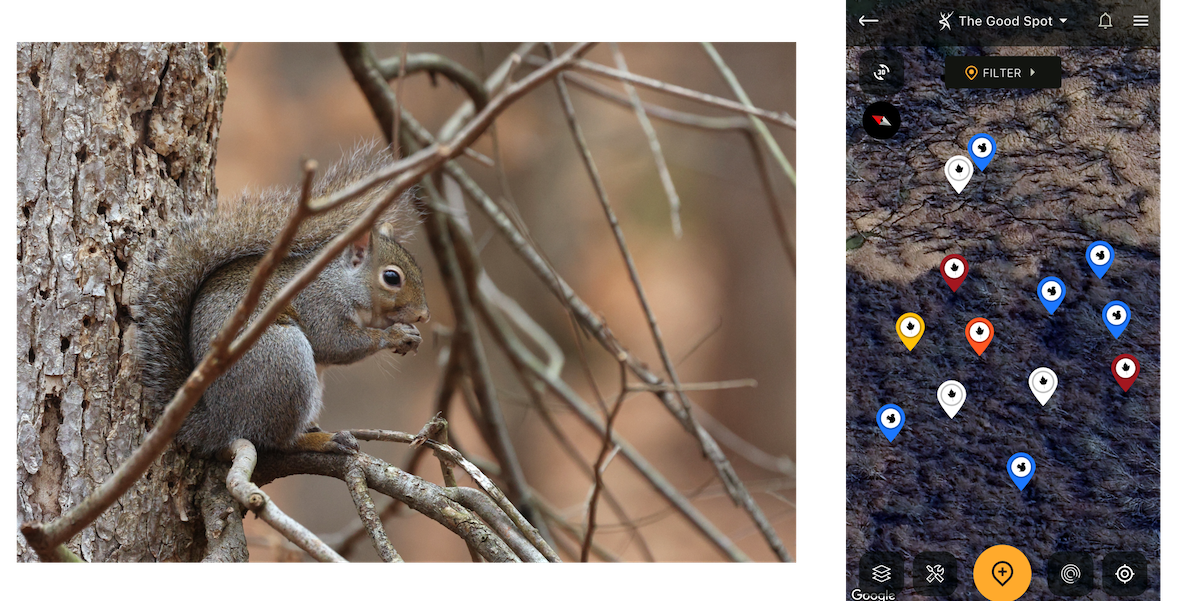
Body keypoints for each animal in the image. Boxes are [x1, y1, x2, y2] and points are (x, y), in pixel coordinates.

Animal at [138, 144, 429, 456]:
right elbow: (335, 343)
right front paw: (394, 335)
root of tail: (220, 422)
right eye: (391, 277)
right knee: (277, 441)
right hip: (285, 360)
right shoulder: (318, 304)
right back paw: (323, 440)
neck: (340, 281)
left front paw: (412, 334)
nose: (424, 315)